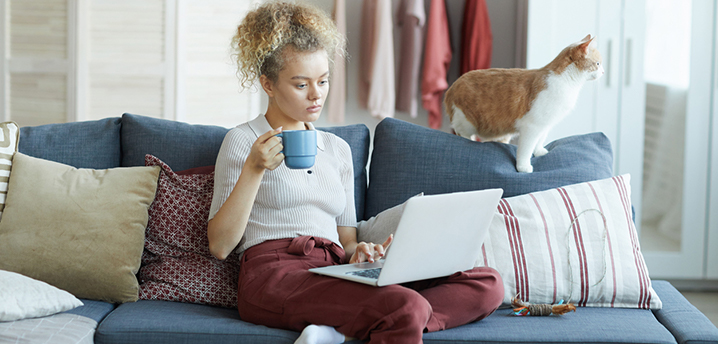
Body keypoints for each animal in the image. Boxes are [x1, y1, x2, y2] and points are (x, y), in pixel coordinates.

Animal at [448, 35, 604, 172]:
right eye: (597, 64)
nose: (603, 72)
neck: (566, 83)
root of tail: (451, 88)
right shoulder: (532, 127)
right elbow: (525, 150)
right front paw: (523, 167)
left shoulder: (545, 125)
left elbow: (539, 140)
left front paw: (539, 151)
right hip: (465, 123)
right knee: (463, 135)